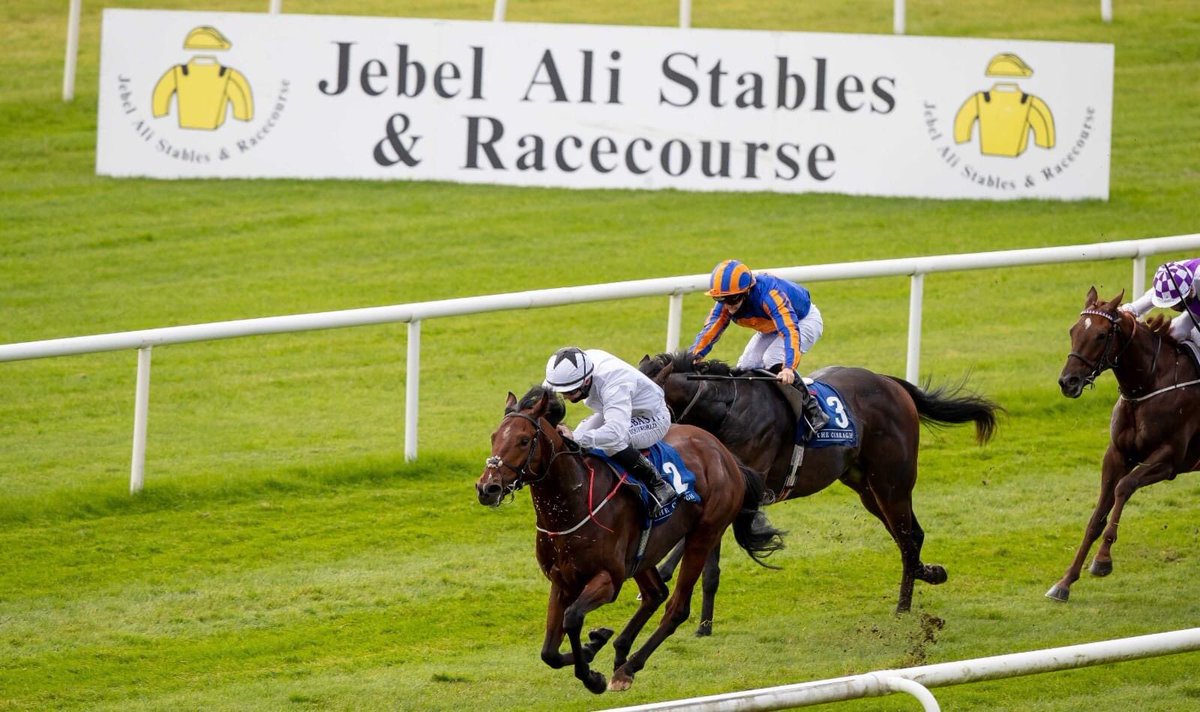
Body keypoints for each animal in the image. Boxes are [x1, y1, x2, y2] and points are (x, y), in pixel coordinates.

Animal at [472, 386, 782, 691]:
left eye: (524, 440)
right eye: (493, 437)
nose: (488, 487)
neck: (573, 505)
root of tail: (725, 454)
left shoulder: (609, 579)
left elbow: (573, 618)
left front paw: (592, 672)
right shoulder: (562, 581)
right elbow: (548, 652)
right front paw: (594, 645)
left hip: (704, 535)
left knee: (676, 607)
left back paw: (628, 668)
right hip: (644, 555)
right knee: (656, 594)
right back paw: (621, 651)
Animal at [643, 350, 998, 624]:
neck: (728, 409)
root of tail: (890, 382)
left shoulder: (742, 487)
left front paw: (663, 572)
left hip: (892, 482)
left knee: (908, 537)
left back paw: (903, 606)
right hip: (866, 487)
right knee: (911, 535)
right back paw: (928, 573)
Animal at [1051, 286, 1200, 600]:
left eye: (1101, 335)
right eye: (1073, 330)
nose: (1068, 382)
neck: (1149, 384)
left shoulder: (1169, 459)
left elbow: (1124, 487)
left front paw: (1102, 560)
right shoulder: (1116, 455)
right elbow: (1096, 517)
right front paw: (1065, 581)